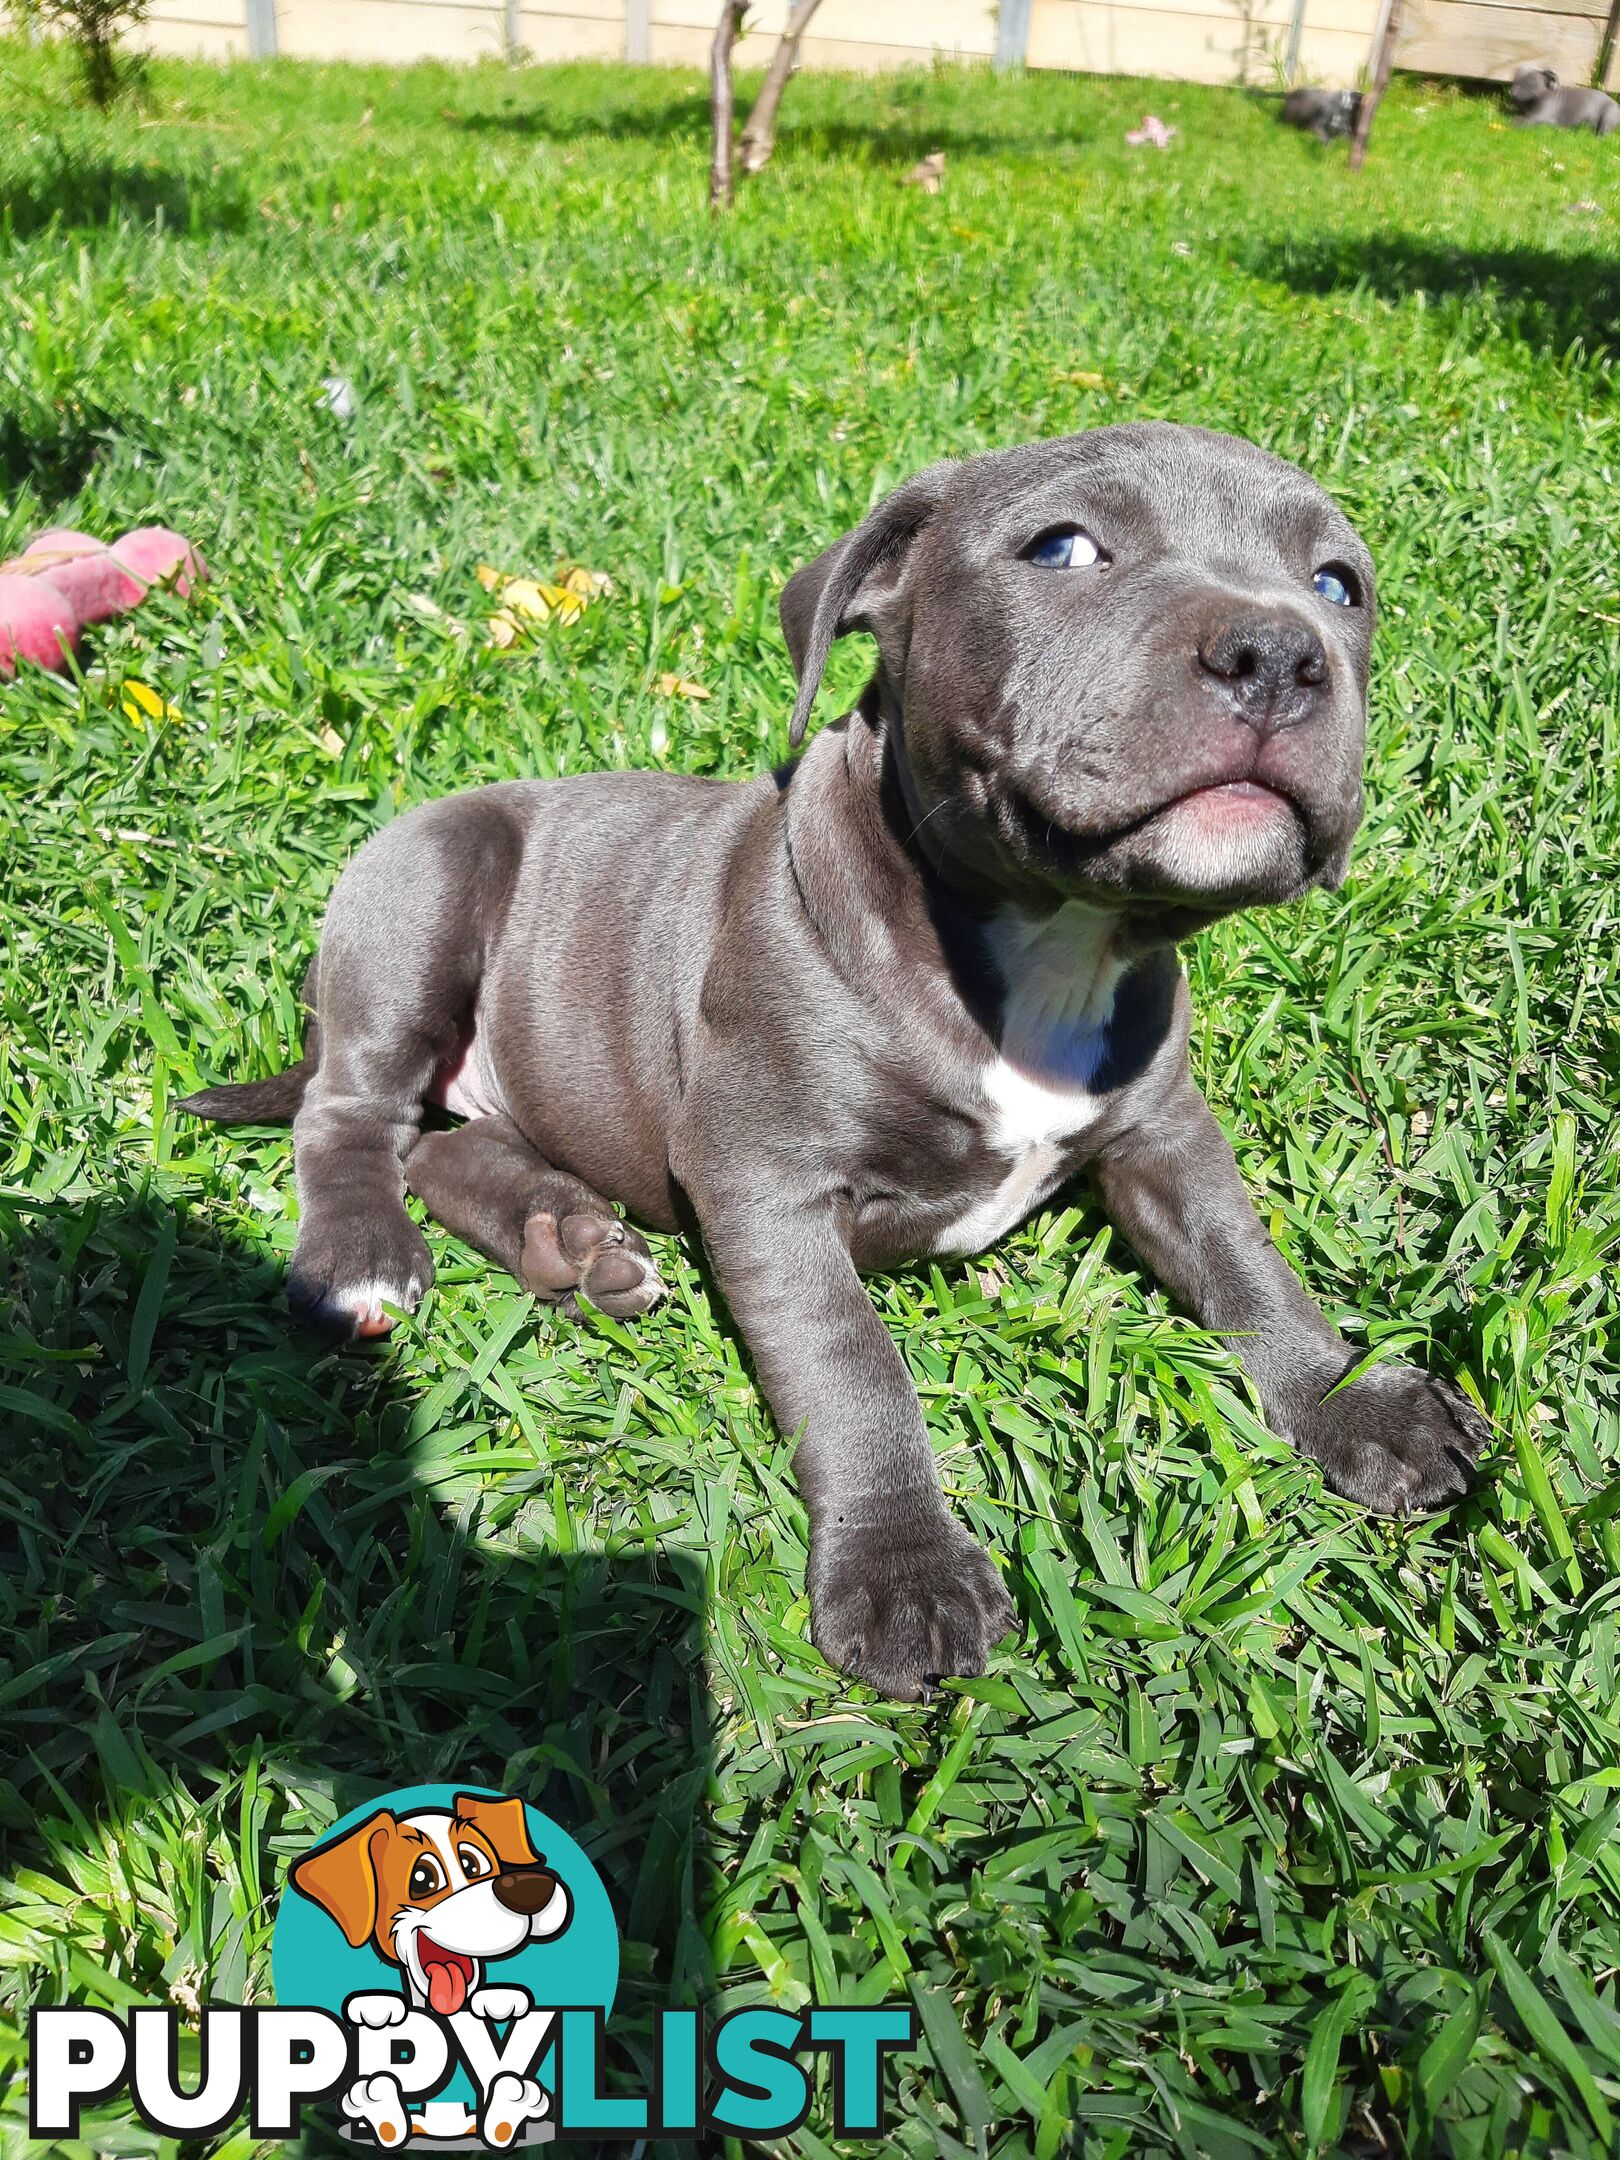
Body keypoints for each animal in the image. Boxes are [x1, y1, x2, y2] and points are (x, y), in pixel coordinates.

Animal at [183, 425, 1494, 1702]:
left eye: (1339, 586)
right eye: (1063, 549)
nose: (1278, 651)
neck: (1052, 939)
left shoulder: (1164, 1133)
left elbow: (1245, 1260)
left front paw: (1354, 1399)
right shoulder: (766, 1178)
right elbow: (851, 1363)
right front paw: (902, 1571)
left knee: (443, 1149)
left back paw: (569, 1239)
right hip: (426, 890)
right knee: (352, 1116)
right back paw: (362, 1254)